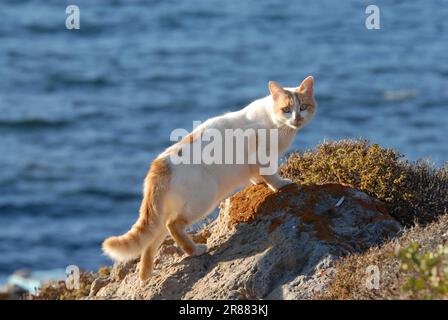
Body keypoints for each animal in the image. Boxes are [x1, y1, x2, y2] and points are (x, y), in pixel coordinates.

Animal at [103, 75, 316, 280]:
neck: (276, 123)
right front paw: (280, 184)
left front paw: (260, 182)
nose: (297, 118)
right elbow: (270, 174)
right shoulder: (263, 157)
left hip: (165, 213)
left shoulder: (254, 164)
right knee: (173, 225)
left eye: (303, 107)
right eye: (286, 109)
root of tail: (160, 163)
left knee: (150, 244)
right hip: (203, 198)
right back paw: (195, 250)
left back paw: (146, 276)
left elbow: (256, 175)